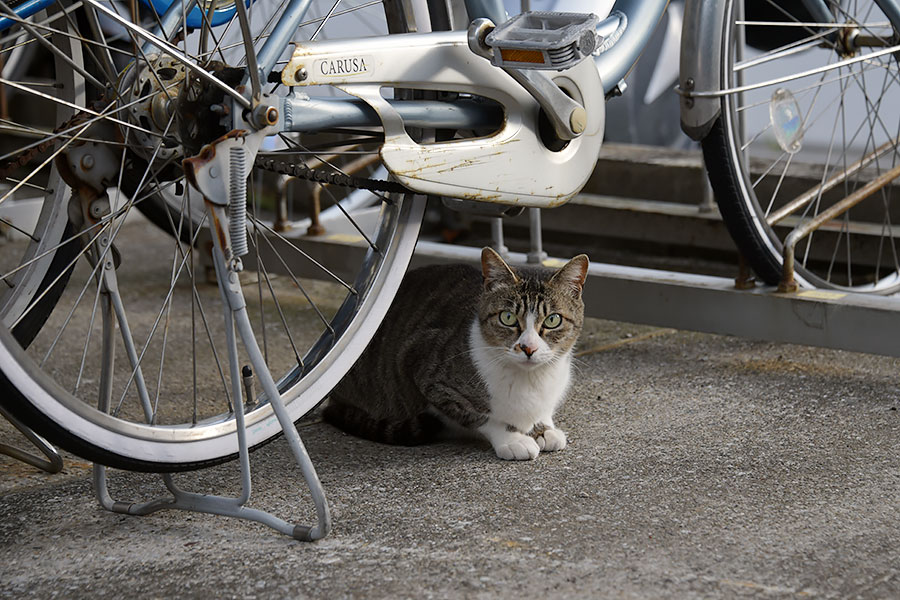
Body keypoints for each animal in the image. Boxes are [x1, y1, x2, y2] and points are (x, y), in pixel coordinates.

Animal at [326, 246, 592, 462]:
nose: (528, 348)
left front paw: (544, 429)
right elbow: (482, 416)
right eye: (507, 317)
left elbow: (543, 413)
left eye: (552, 320)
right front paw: (513, 439)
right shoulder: (427, 374)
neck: (529, 380)